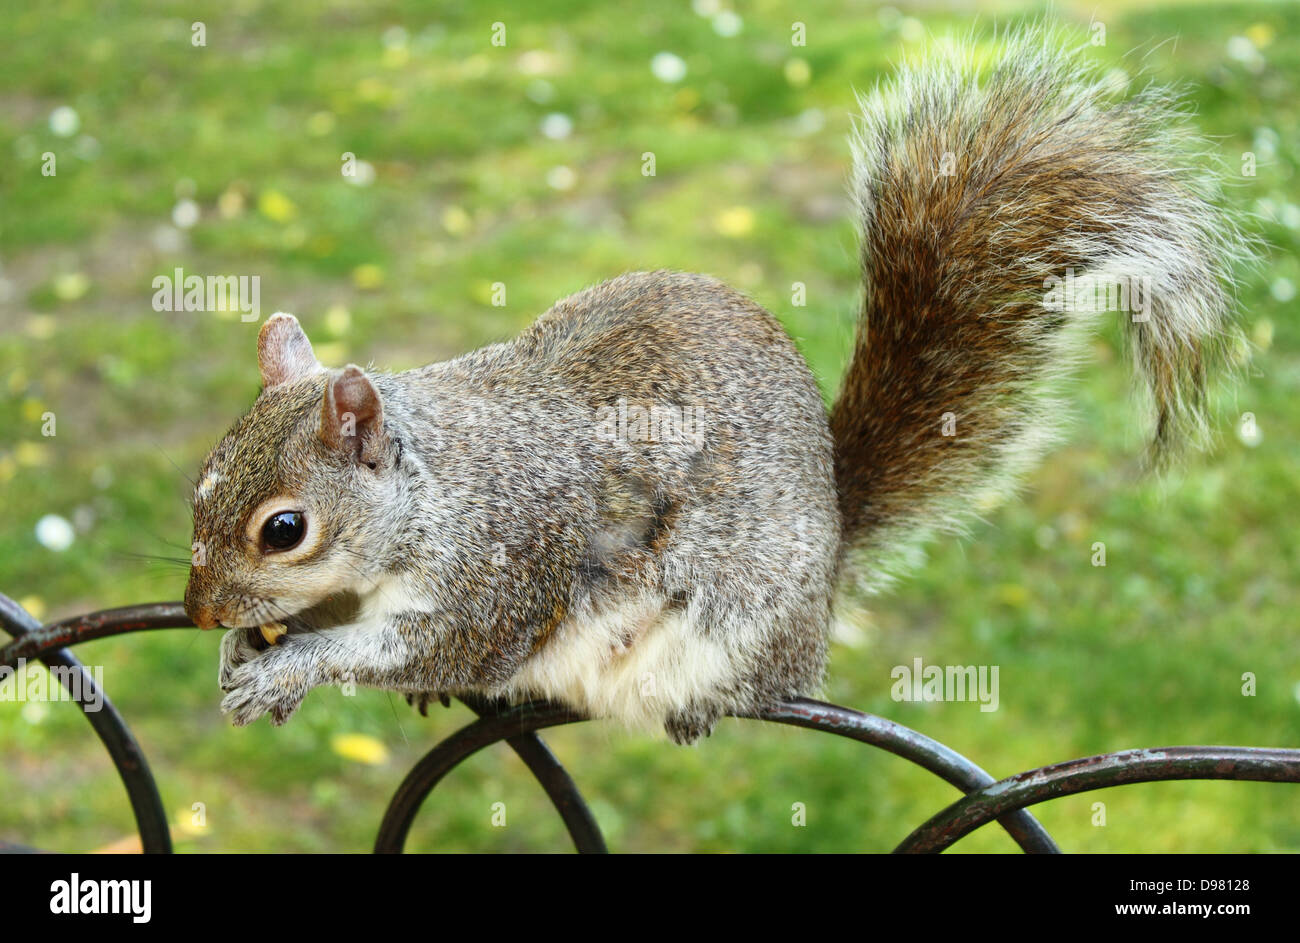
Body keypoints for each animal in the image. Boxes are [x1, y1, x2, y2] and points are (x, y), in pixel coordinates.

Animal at [183, 29, 1248, 743]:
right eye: (198, 488)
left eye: (286, 529)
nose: (198, 612)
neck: (429, 489)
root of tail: (828, 574)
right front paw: (250, 648)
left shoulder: (502, 569)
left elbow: (436, 644)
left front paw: (294, 665)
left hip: (744, 627)